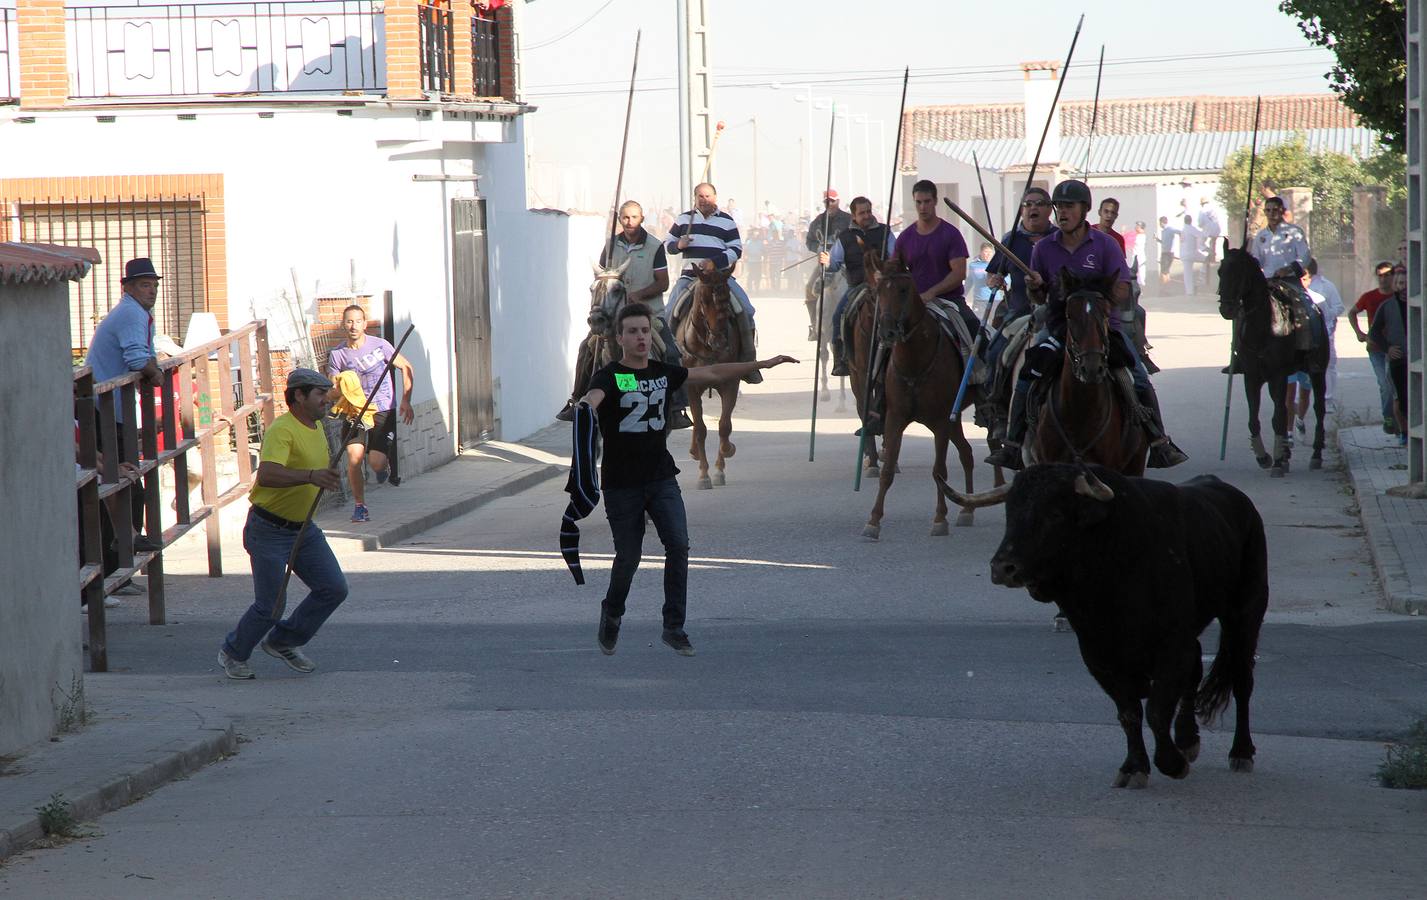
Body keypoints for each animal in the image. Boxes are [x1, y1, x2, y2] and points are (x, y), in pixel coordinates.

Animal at [676, 268, 747, 490]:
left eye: (727, 297)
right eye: (703, 300)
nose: (719, 341)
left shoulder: (730, 383)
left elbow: (724, 425)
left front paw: (723, 460)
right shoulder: (691, 388)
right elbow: (700, 429)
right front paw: (704, 475)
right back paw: (694, 452)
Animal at [861, 255, 987, 541]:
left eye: (903, 289)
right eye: (878, 291)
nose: (887, 331)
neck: (914, 362)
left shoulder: (940, 422)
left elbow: (939, 470)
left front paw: (940, 519)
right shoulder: (895, 418)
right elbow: (887, 470)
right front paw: (873, 521)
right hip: (953, 421)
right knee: (967, 453)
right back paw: (968, 508)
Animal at [941, 464, 1267, 787]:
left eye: (1054, 514)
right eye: (1010, 512)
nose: (1003, 568)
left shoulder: (1171, 646)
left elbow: (1157, 710)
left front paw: (1171, 764)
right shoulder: (1098, 654)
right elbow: (1129, 712)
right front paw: (1135, 767)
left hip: (1245, 615)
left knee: (1242, 682)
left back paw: (1241, 752)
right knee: (1196, 669)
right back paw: (1188, 741)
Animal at [1210, 239, 1329, 479]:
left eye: (1240, 272)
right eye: (1220, 271)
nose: (1227, 309)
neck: (1265, 326)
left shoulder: (1278, 375)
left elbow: (1278, 417)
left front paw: (1276, 462)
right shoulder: (1252, 377)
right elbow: (1254, 418)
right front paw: (1264, 457)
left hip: (1318, 371)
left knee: (1318, 409)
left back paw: (1315, 455)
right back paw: (1284, 454)